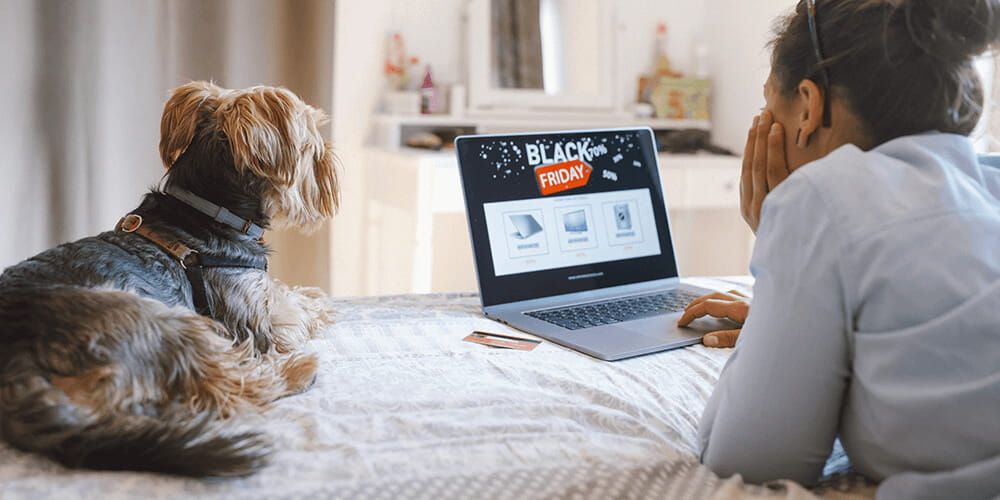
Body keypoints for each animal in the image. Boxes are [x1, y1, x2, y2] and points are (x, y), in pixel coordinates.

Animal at [0, 81, 340, 476]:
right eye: (311, 141)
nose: (330, 163)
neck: (210, 210)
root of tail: (13, 358)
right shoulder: (253, 315)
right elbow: (292, 313)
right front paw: (316, 304)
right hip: (158, 320)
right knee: (230, 388)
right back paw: (297, 370)